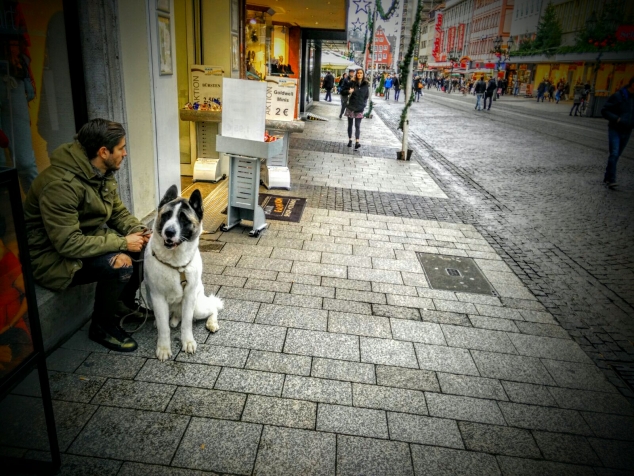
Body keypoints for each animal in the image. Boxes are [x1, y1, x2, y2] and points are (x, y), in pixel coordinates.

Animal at [144, 185, 223, 360]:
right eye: (166, 215)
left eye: (184, 219)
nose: (169, 232)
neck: (175, 263)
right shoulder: (157, 298)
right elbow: (163, 327)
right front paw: (164, 347)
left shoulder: (189, 296)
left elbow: (186, 323)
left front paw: (187, 342)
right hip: (150, 300)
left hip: (198, 307)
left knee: (213, 307)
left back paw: (212, 323)